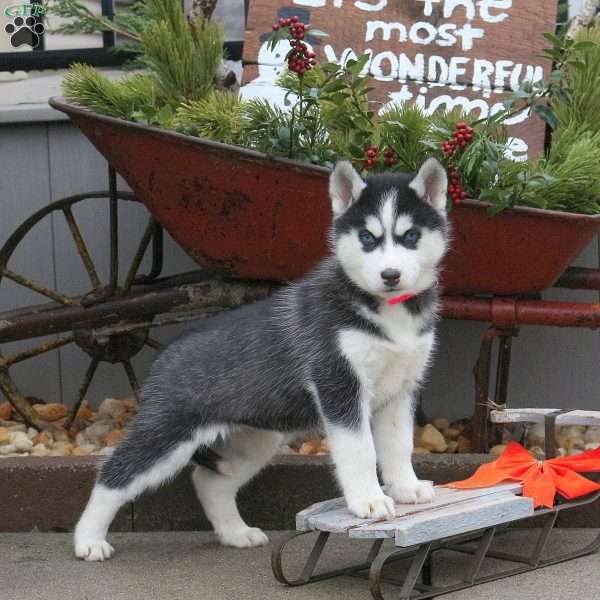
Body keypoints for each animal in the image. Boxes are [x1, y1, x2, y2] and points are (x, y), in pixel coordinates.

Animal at [75, 157, 448, 560]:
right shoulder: (339, 384)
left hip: (256, 439)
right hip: (167, 435)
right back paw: (88, 540)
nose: (390, 275)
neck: (387, 309)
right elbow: (360, 450)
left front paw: (406, 488)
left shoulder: (400, 389)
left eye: (410, 237)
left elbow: (398, 445)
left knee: (209, 480)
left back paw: (235, 532)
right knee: (113, 473)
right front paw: (369, 501)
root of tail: (164, 357)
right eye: (367, 238)